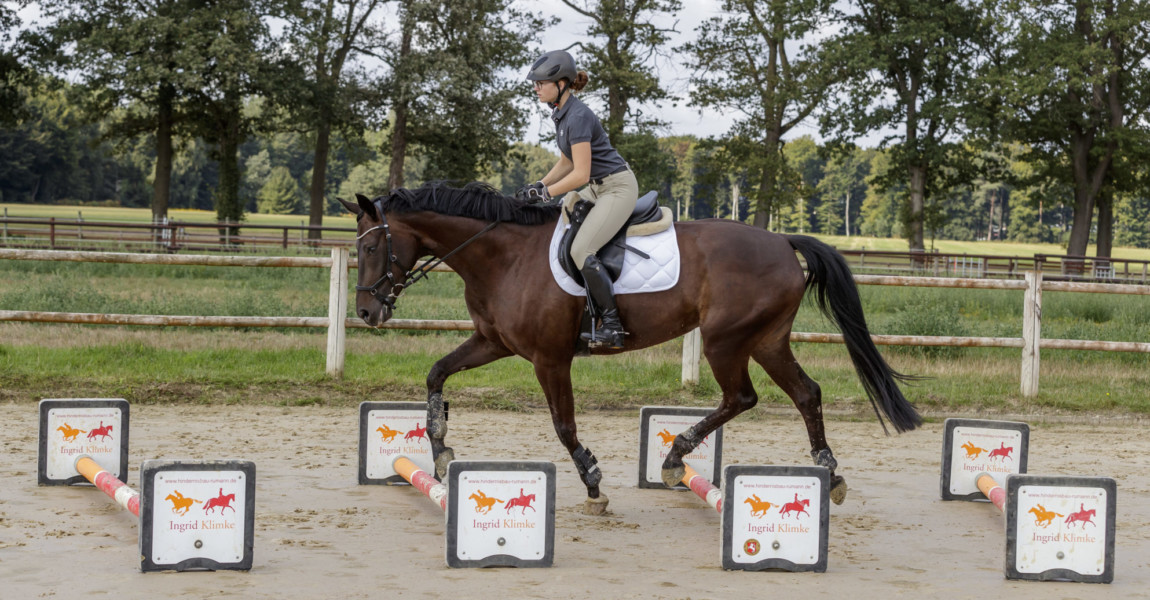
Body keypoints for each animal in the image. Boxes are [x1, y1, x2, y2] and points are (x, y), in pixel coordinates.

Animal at [335, 181, 920, 512]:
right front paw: (439, 450)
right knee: (803, 393)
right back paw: (828, 473)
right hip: (766, 339)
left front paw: (593, 484)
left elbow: (563, 424)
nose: (366, 313)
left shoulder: (549, 359)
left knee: (743, 397)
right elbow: (436, 374)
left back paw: (678, 456)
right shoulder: (492, 342)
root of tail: (781, 241)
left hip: (726, 339)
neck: (502, 256)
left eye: (371, 247)